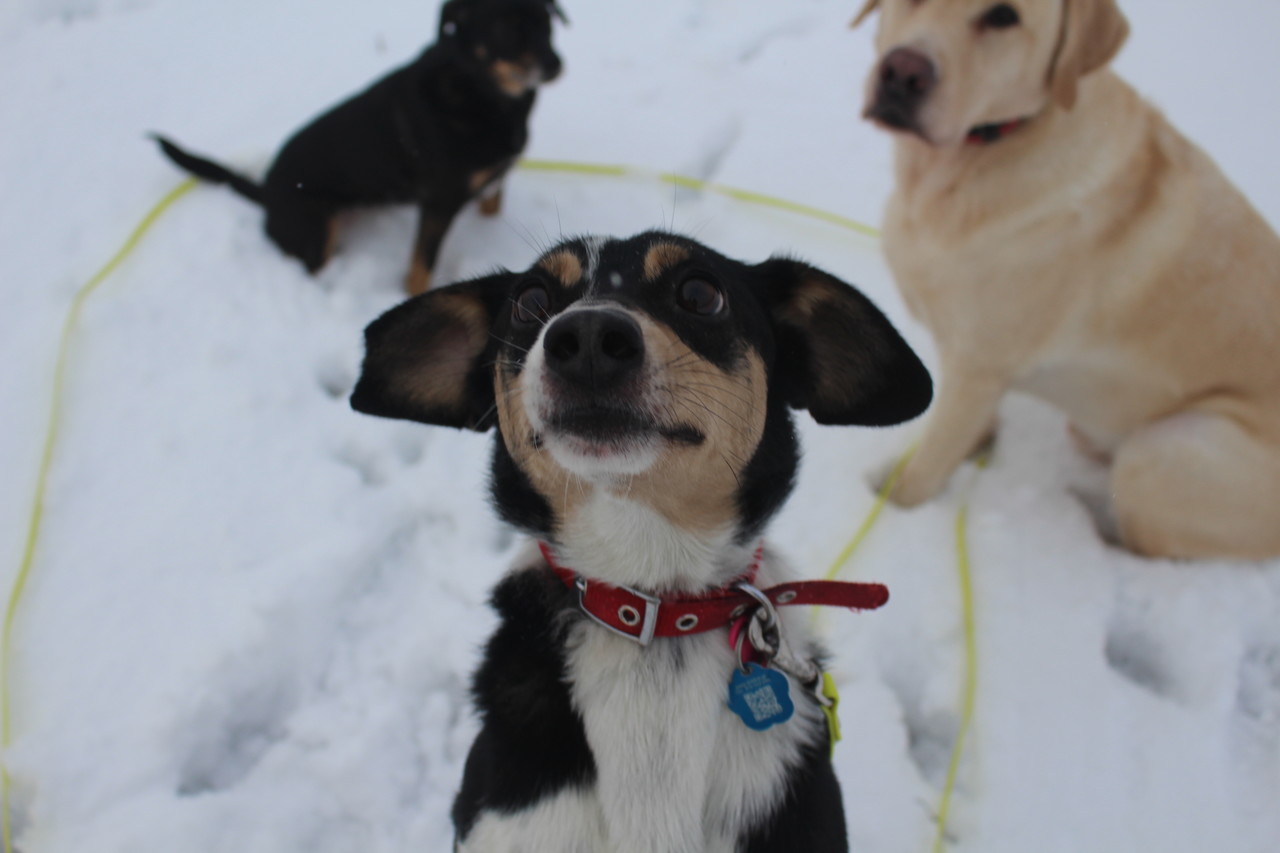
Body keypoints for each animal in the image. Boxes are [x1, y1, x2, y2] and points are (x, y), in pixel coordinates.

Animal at [154, 0, 565, 295]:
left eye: (546, 24)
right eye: (507, 30)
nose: (556, 65)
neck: (482, 92)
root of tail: (266, 193)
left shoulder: (493, 179)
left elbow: (493, 205)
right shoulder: (439, 203)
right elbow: (421, 268)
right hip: (316, 231)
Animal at [854, 0, 1280, 560]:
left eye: (1003, 16)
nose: (904, 72)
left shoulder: (978, 366)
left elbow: (925, 469)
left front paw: (893, 506)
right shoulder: (976, 371)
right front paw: (977, 446)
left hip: (1169, 453)